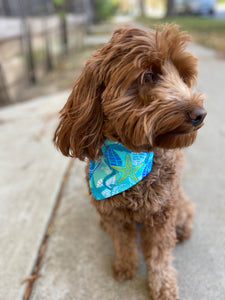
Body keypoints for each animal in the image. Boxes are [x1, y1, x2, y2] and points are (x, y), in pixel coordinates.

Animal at [52, 24, 206, 298]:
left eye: (183, 77)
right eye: (148, 76)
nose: (200, 115)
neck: (131, 154)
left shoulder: (161, 213)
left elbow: (159, 255)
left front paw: (163, 286)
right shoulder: (114, 213)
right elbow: (122, 243)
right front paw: (125, 266)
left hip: (180, 204)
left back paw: (182, 231)